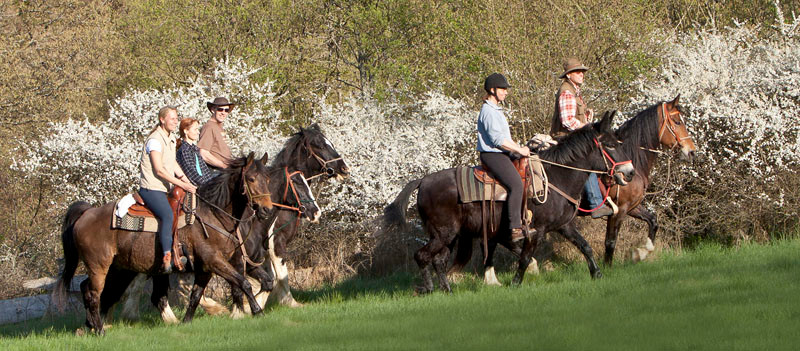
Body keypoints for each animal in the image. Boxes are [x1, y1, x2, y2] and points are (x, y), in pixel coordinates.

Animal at [53, 153, 274, 336]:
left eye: (268, 179)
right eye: (251, 179)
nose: (266, 210)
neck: (212, 213)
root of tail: (87, 213)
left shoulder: (205, 268)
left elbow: (196, 295)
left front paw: (186, 321)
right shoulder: (214, 261)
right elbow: (243, 282)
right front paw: (257, 311)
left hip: (118, 268)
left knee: (90, 290)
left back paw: (90, 325)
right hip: (99, 266)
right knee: (94, 294)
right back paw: (99, 330)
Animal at [384, 110, 636, 294]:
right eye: (610, 145)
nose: (630, 172)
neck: (556, 178)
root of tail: (423, 181)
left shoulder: (564, 226)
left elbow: (585, 246)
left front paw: (597, 274)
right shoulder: (537, 230)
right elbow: (524, 258)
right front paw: (515, 283)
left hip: (449, 235)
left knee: (439, 260)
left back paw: (447, 290)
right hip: (443, 233)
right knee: (423, 256)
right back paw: (429, 288)